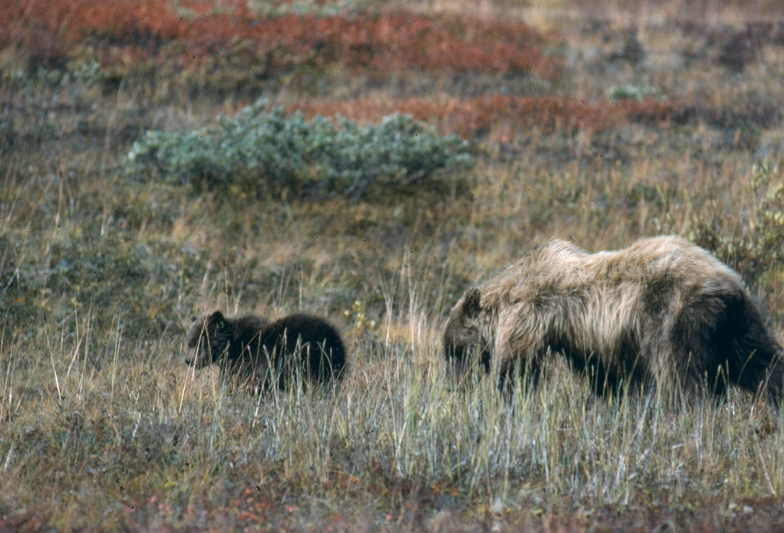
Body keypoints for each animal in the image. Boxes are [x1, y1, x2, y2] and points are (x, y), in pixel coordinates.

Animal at [442, 236, 784, 405]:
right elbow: (605, 375)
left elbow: (517, 367)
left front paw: (507, 398)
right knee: (761, 361)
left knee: (680, 373)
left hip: (675, 316)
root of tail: (726, 283)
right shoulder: (593, 339)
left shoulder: (529, 313)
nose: (453, 386)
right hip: (738, 323)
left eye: (455, 350)